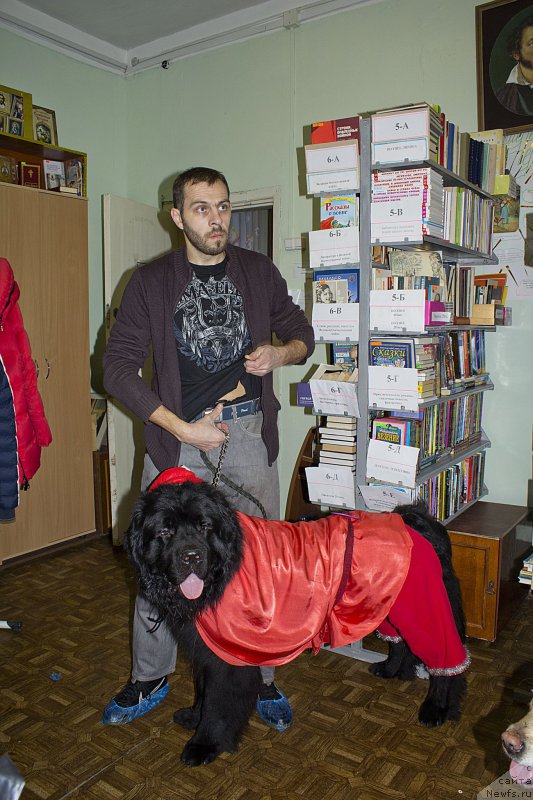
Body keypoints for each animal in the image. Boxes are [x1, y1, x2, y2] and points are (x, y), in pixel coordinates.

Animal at [124, 468, 466, 768]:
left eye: (205, 526)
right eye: (165, 531)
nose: (192, 557)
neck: (222, 574)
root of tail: (415, 520)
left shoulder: (228, 656)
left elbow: (217, 704)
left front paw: (204, 744)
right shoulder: (205, 649)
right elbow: (203, 691)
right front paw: (193, 717)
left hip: (423, 609)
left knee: (447, 662)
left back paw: (437, 707)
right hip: (382, 605)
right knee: (401, 642)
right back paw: (392, 668)